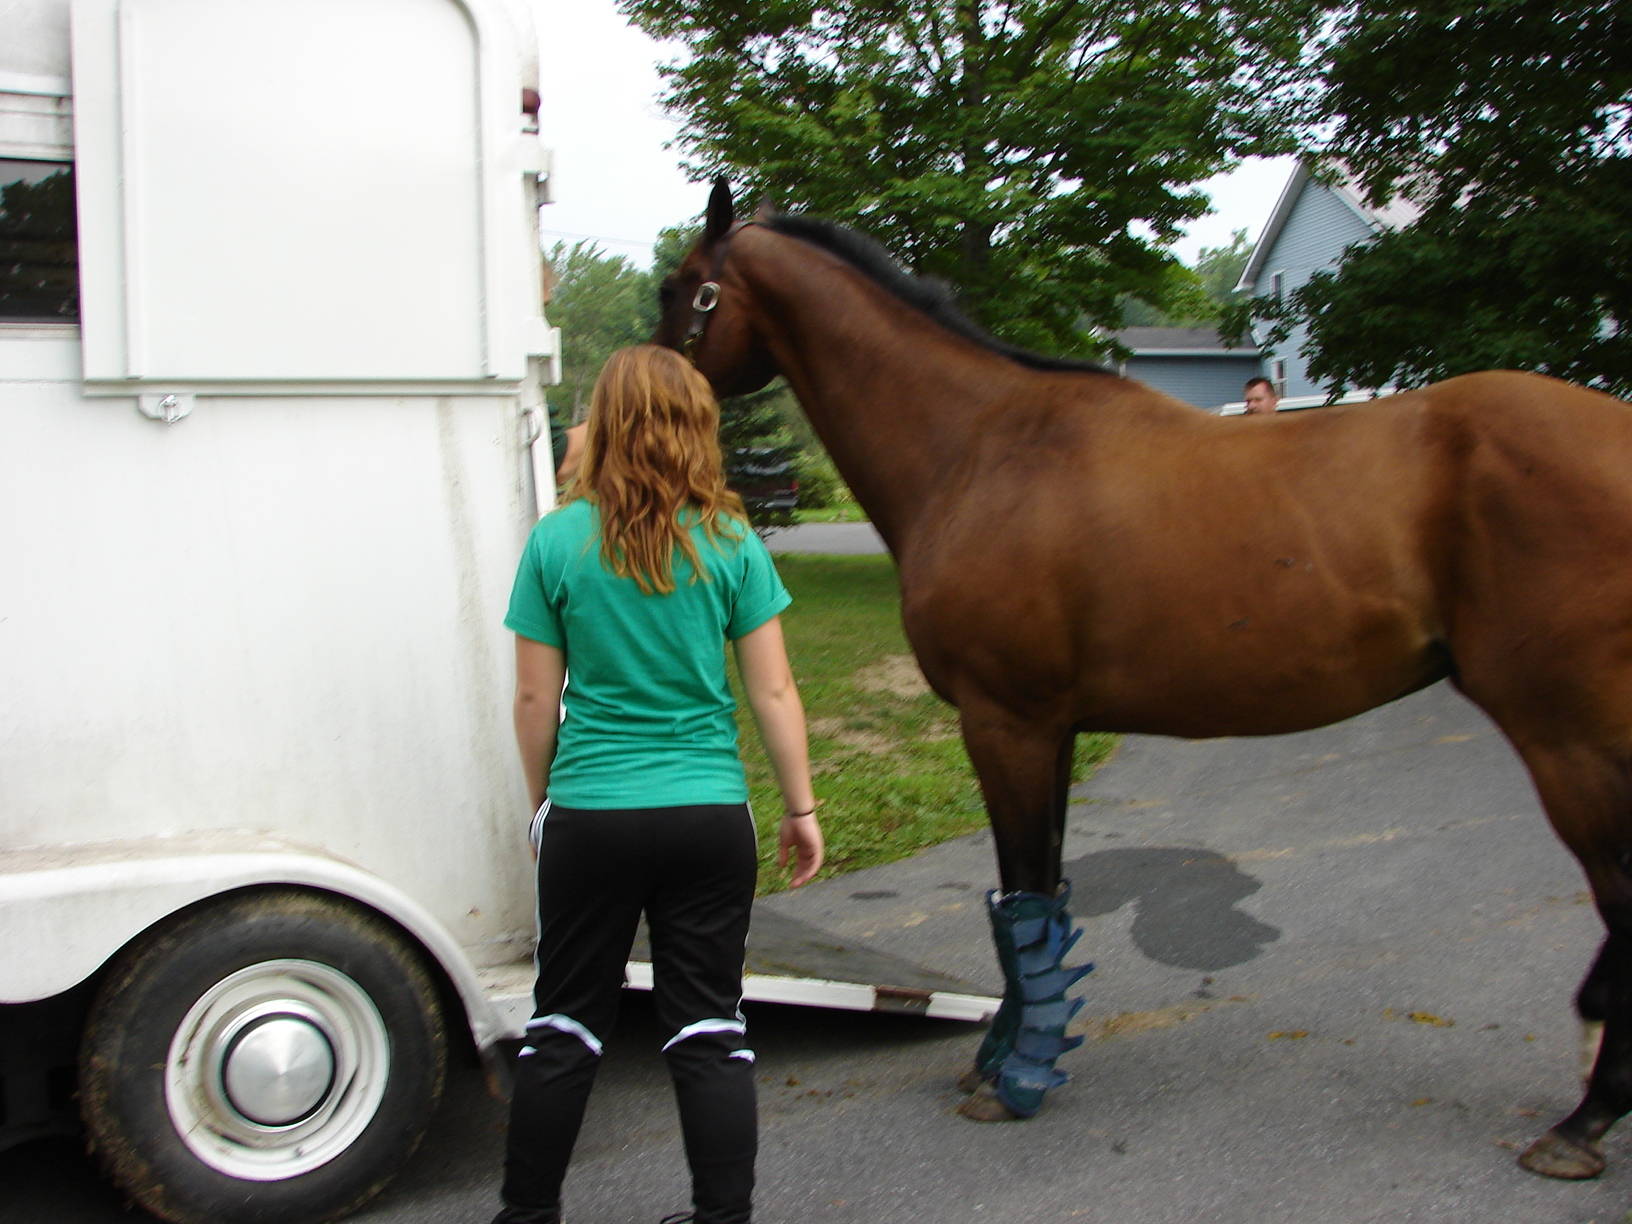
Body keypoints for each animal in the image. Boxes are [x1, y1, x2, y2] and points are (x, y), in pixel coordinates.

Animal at [652, 181, 1632, 1179]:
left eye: (681, 288)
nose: (643, 390)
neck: (981, 448)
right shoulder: (1050, 729)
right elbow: (1036, 902)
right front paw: (1009, 1060)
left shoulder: (1005, 722)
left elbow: (1025, 894)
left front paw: (1012, 1083)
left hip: (1568, 736)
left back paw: (1582, 1124)